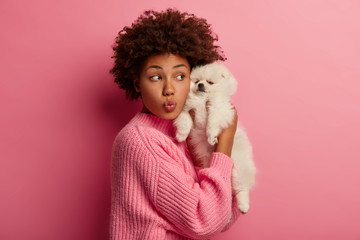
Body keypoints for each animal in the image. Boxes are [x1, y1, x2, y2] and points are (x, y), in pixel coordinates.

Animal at [174, 62, 256, 213]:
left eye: (210, 82)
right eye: (196, 81)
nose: (200, 85)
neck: (201, 100)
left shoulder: (219, 109)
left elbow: (212, 122)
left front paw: (211, 136)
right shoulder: (187, 110)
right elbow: (184, 120)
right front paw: (181, 135)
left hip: (239, 168)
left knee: (242, 188)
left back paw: (243, 205)